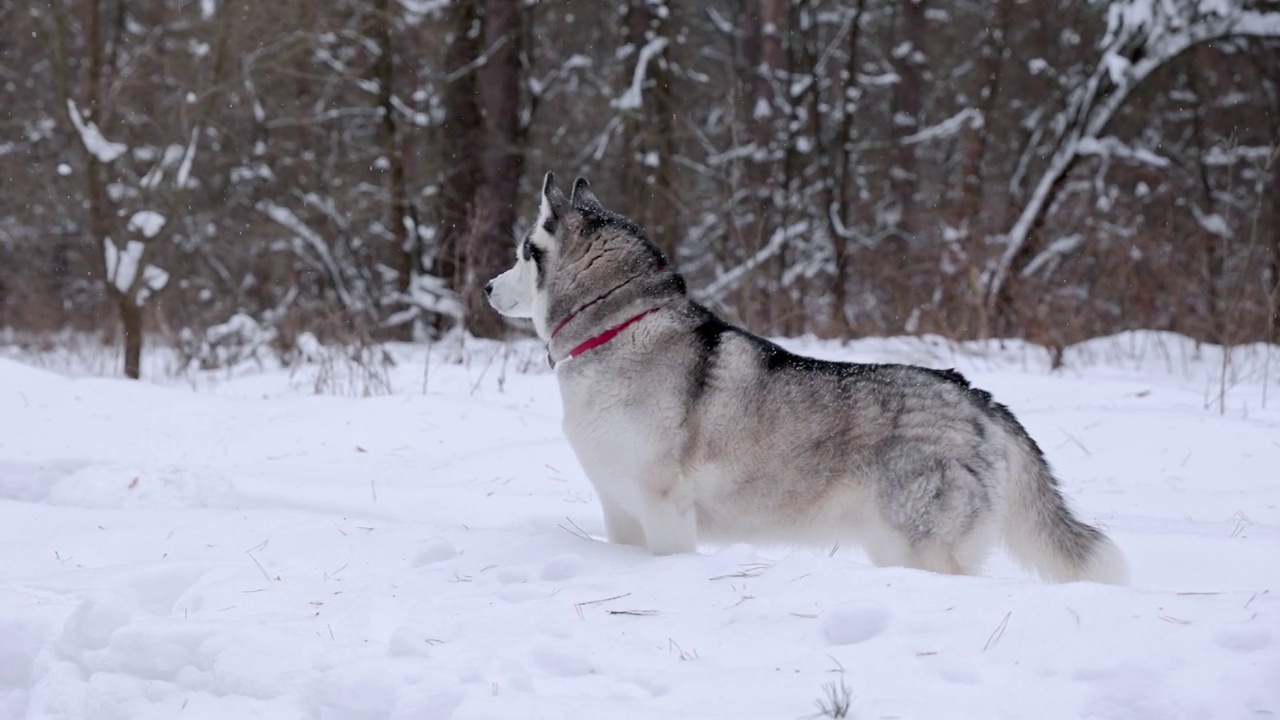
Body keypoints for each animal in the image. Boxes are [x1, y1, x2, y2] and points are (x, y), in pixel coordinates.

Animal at [486, 174, 1131, 584]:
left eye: (522, 252)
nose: (487, 287)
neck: (621, 328)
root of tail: (976, 398)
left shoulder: (666, 511)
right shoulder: (620, 509)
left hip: (919, 545)